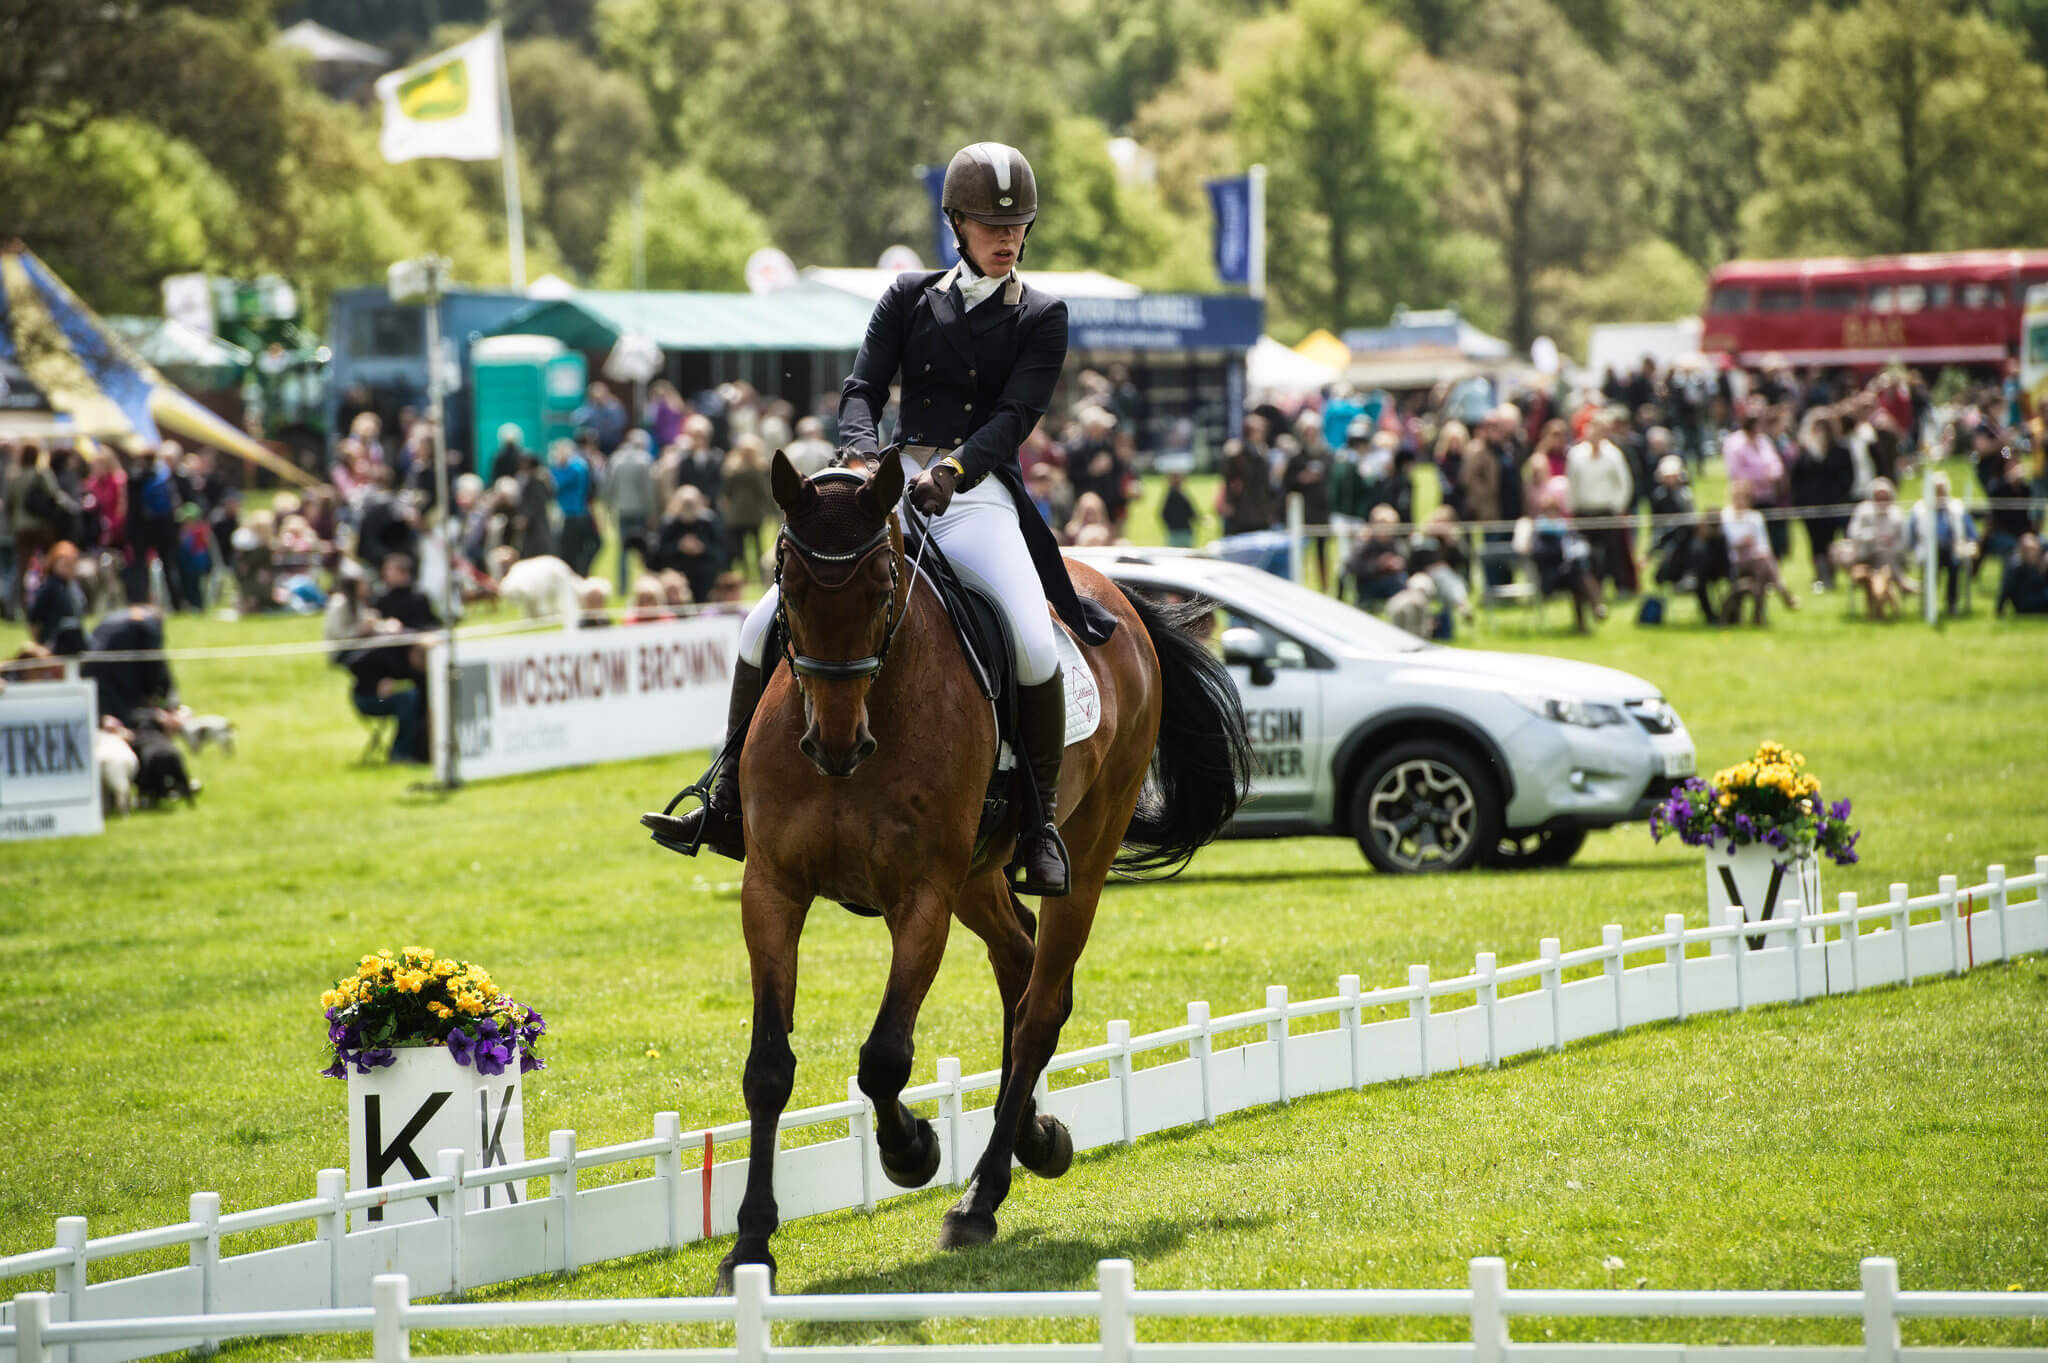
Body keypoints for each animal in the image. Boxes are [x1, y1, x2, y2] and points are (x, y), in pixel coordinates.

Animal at [720, 450, 1253, 1293]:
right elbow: (769, 1066)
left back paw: (981, 1195)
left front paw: (912, 1151)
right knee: (1022, 961)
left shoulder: (923, 898)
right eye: (789, 586)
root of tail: (1118, 598)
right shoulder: (771, 888)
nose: (835, 745)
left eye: (884, 587)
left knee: (1040, 1004)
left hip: (1079, 860)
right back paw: (1032, 1132)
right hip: (980, 876)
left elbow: (884, 1058)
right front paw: (749, 1246)